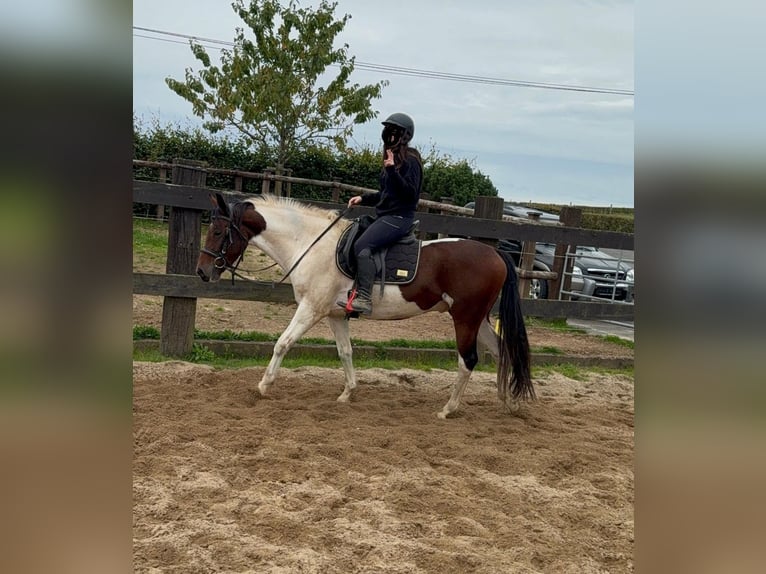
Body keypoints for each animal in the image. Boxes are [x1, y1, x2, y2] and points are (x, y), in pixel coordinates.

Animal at [196, 193, 535, 418]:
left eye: (218, 232)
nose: (202, 272)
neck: (311, 244)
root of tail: (495, 254)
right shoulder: (335, 314)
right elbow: (345, 352)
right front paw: (348, 393)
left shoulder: (311, 309)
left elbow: (283, 342)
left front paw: (263, 386)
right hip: (478, 320)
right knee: (501, 351)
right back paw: (508, 402)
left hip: (465, 318)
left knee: (468, 360)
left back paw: (448, 409)